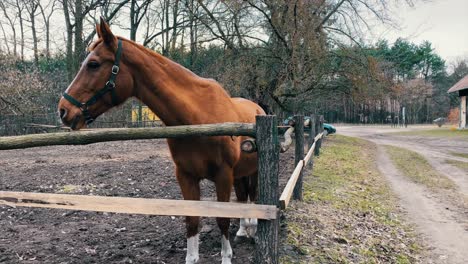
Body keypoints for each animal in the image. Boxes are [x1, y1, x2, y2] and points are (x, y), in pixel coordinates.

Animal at [56, 18, 266, 264]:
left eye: (94, 64)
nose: (63, 110)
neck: (198, 117)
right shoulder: (186, 176)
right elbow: (192, 221)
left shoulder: (223, 175)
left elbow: (222, 220)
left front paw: (226, 256)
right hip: (239, 173)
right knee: (242, 196)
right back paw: (243, 230)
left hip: (253, 170)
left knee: (253, 195)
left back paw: (253, 229)